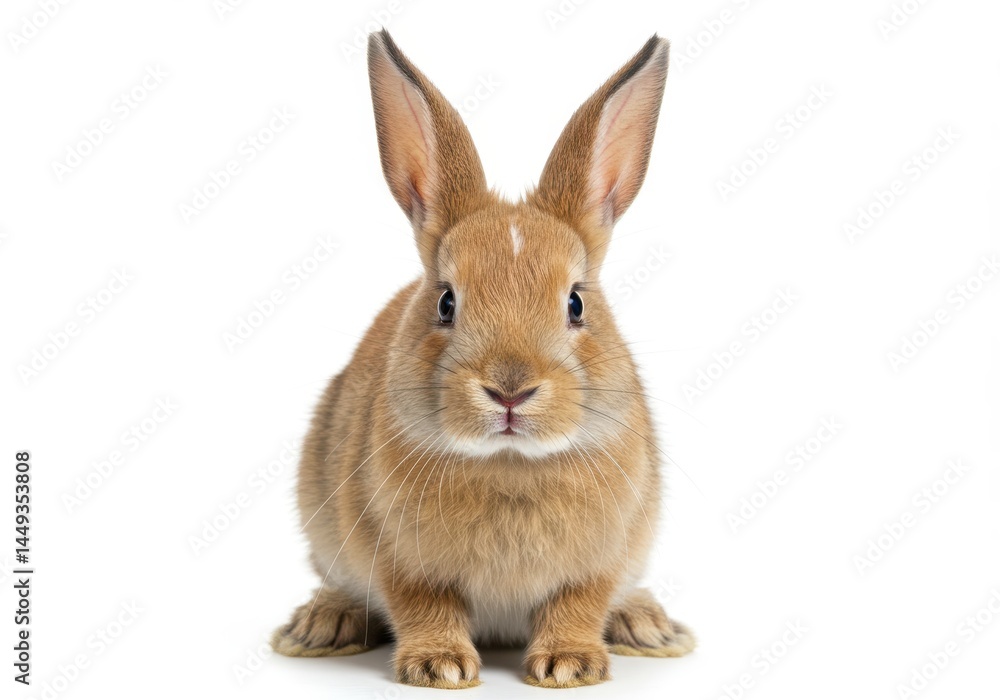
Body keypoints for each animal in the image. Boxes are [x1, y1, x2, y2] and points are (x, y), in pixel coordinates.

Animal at [272, 29, 695, 689]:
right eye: (446, 302)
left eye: (576, 303)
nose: (510, 389)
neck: (510, 463)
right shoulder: (399, 557)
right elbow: (422, 605)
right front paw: (439, 667)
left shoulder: (599, 562)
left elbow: (579, 604)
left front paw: (570, 666)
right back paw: (321, 626)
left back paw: (648, 626)